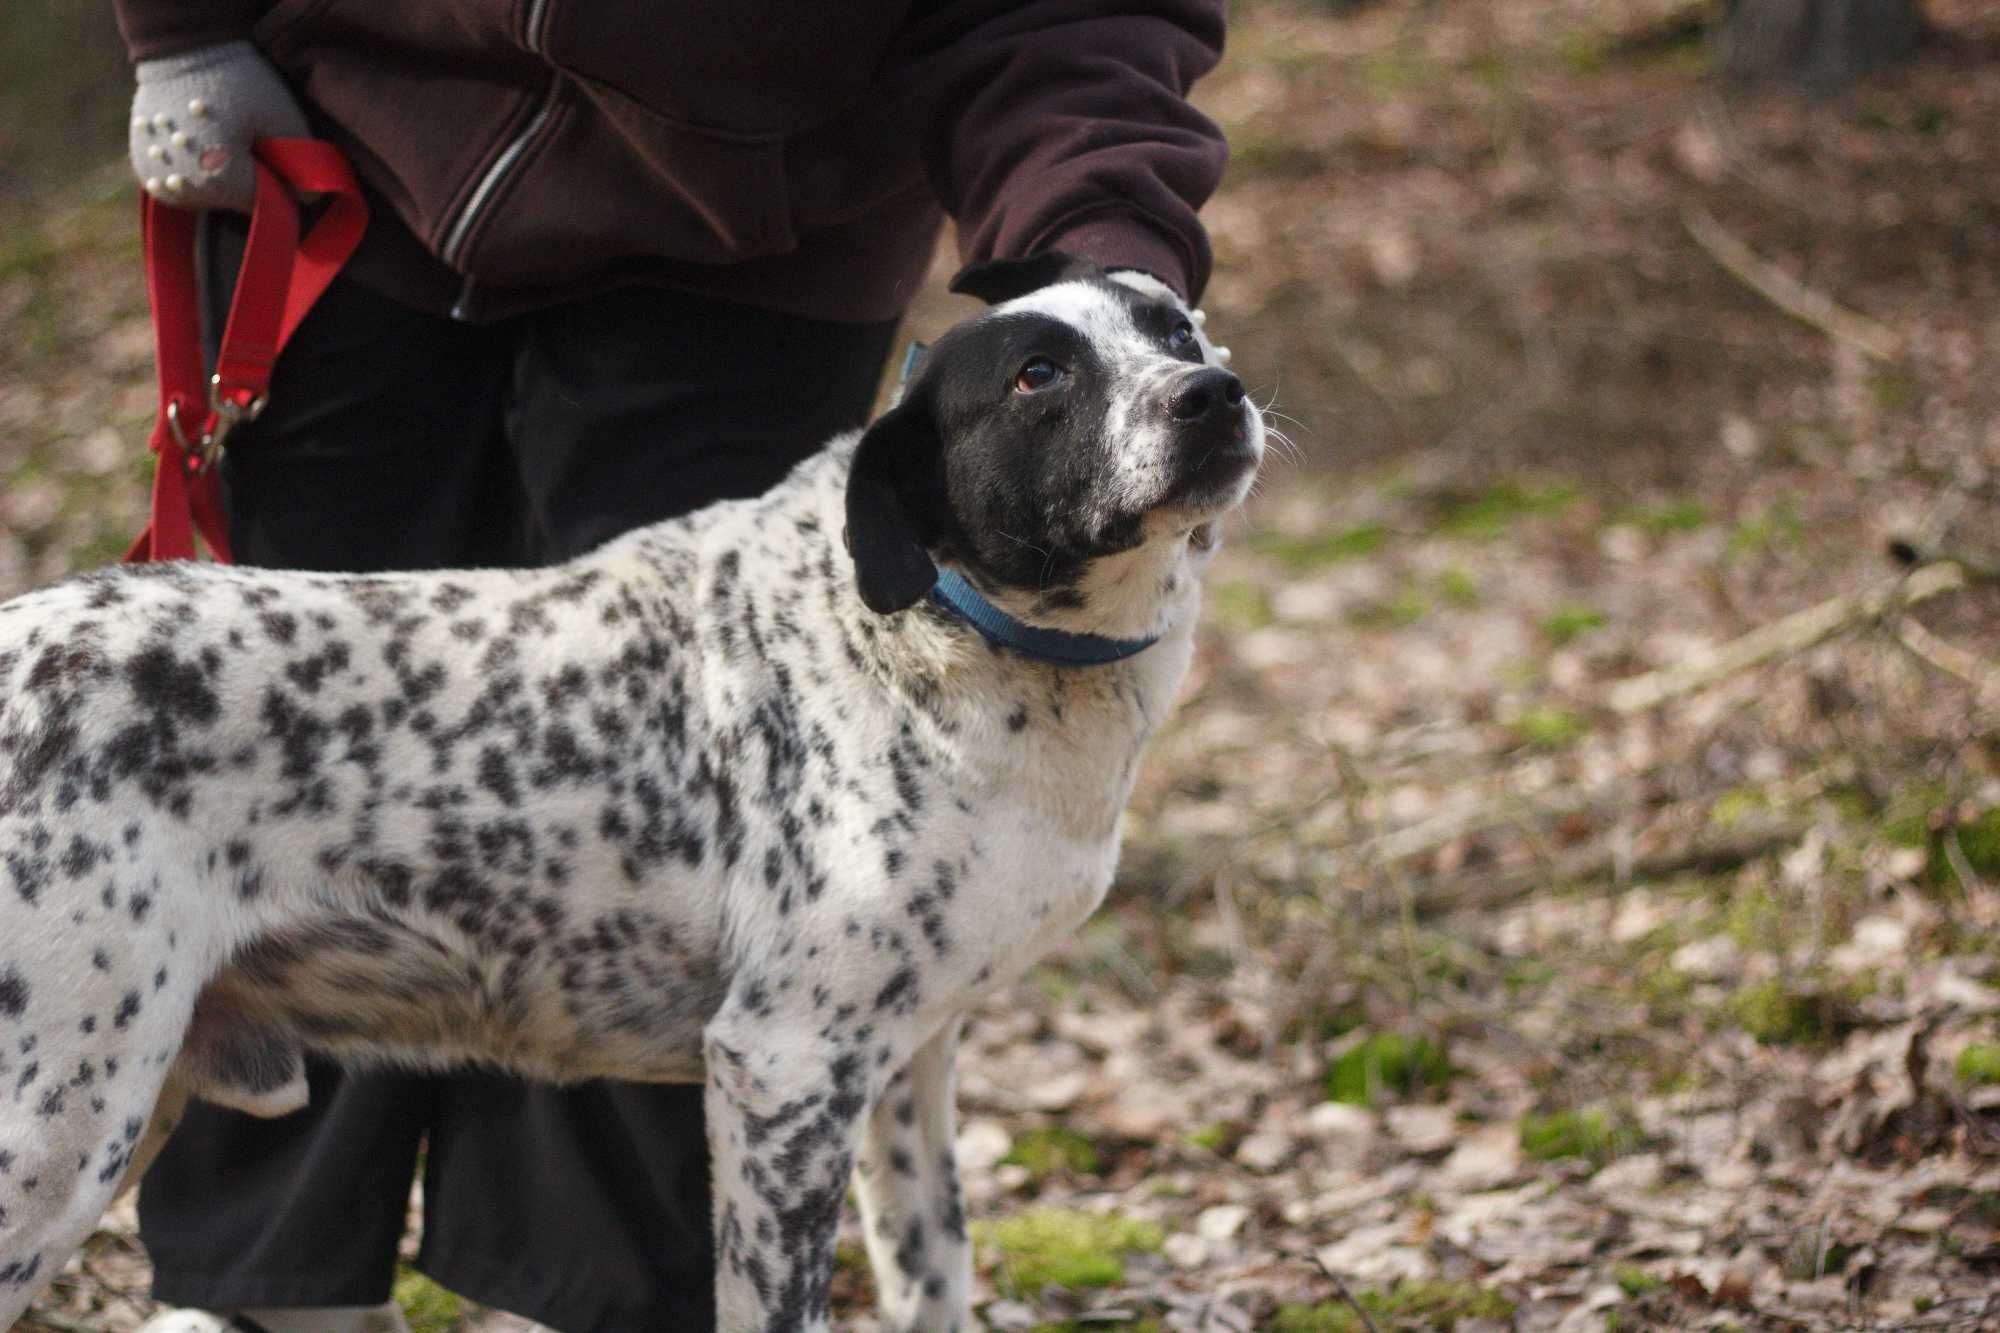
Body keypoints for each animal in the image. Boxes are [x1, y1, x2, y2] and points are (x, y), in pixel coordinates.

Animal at [0, 252, 1264, 1328]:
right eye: (1038, 374)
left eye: (1173, 325)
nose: (1214, 392)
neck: (944, 636)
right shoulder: (783, 1069)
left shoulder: (908, 1060)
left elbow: (931, 1274)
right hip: (62, 1122)